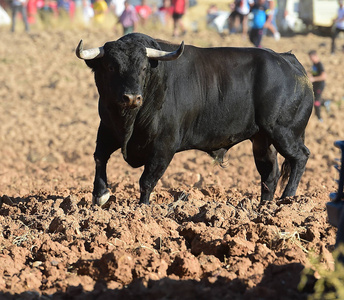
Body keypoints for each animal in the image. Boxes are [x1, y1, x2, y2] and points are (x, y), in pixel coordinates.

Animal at [76, 32, 314, 206]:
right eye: (111, 66)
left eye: (143, 67)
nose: (132, 97)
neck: (129, 121)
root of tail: (288, 61)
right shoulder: (106, 130)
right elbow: (100, 158)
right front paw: (100, 195)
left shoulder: (164, 146)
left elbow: (147, 181)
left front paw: (142, 209)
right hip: (262, 140)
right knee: (270, 174)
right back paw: (264, 207)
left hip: (284, 132)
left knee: (299, 158)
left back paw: (287, 199)